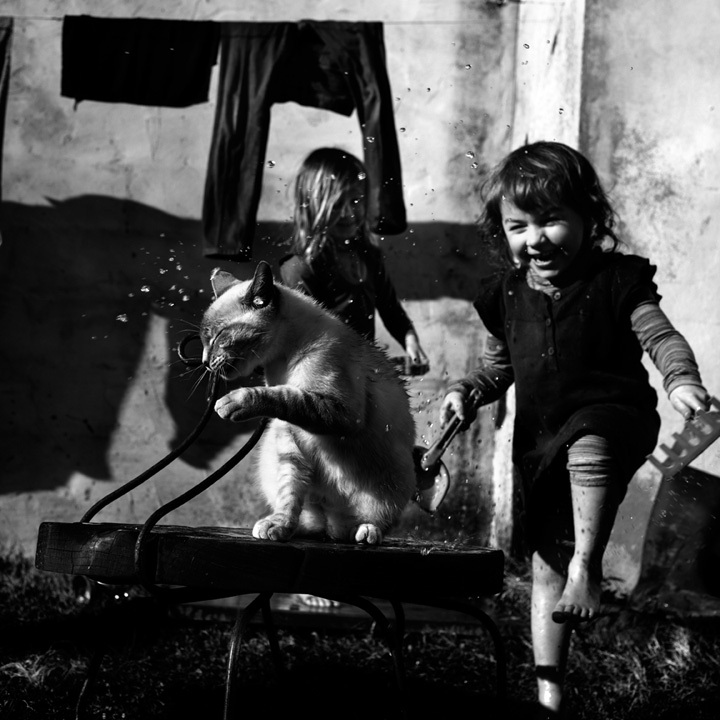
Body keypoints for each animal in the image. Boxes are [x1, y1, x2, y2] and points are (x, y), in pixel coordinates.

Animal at [201, 262, 416, 544]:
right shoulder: (288, 435)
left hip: (393, 481)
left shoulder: (340, 412)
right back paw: (292, 527)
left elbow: (285, 396)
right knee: (309, 516)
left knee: (367, 521)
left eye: (218, 337)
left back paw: (365, 531)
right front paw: (279, 526)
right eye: (205, 340)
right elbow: (289, 494)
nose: (204, 362)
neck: (280, 363)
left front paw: (231, 402)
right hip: (274, 454)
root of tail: (331, 520)